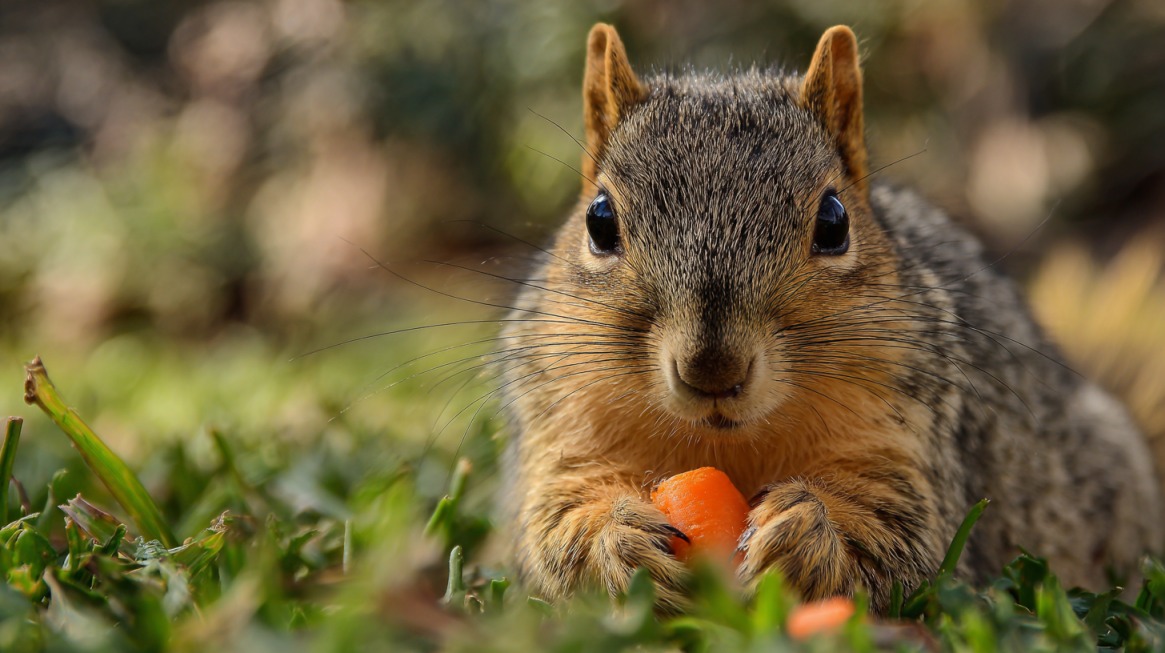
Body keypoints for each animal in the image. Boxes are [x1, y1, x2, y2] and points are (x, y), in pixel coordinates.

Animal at [497, 23, 1164, 613]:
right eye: (599, 222)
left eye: (835, 222)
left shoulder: (906, 442)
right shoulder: (563, 433)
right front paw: (617, 539)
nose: (712, 370)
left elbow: (900, 530)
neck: (731, 446)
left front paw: (806, 531)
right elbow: (552, 522)